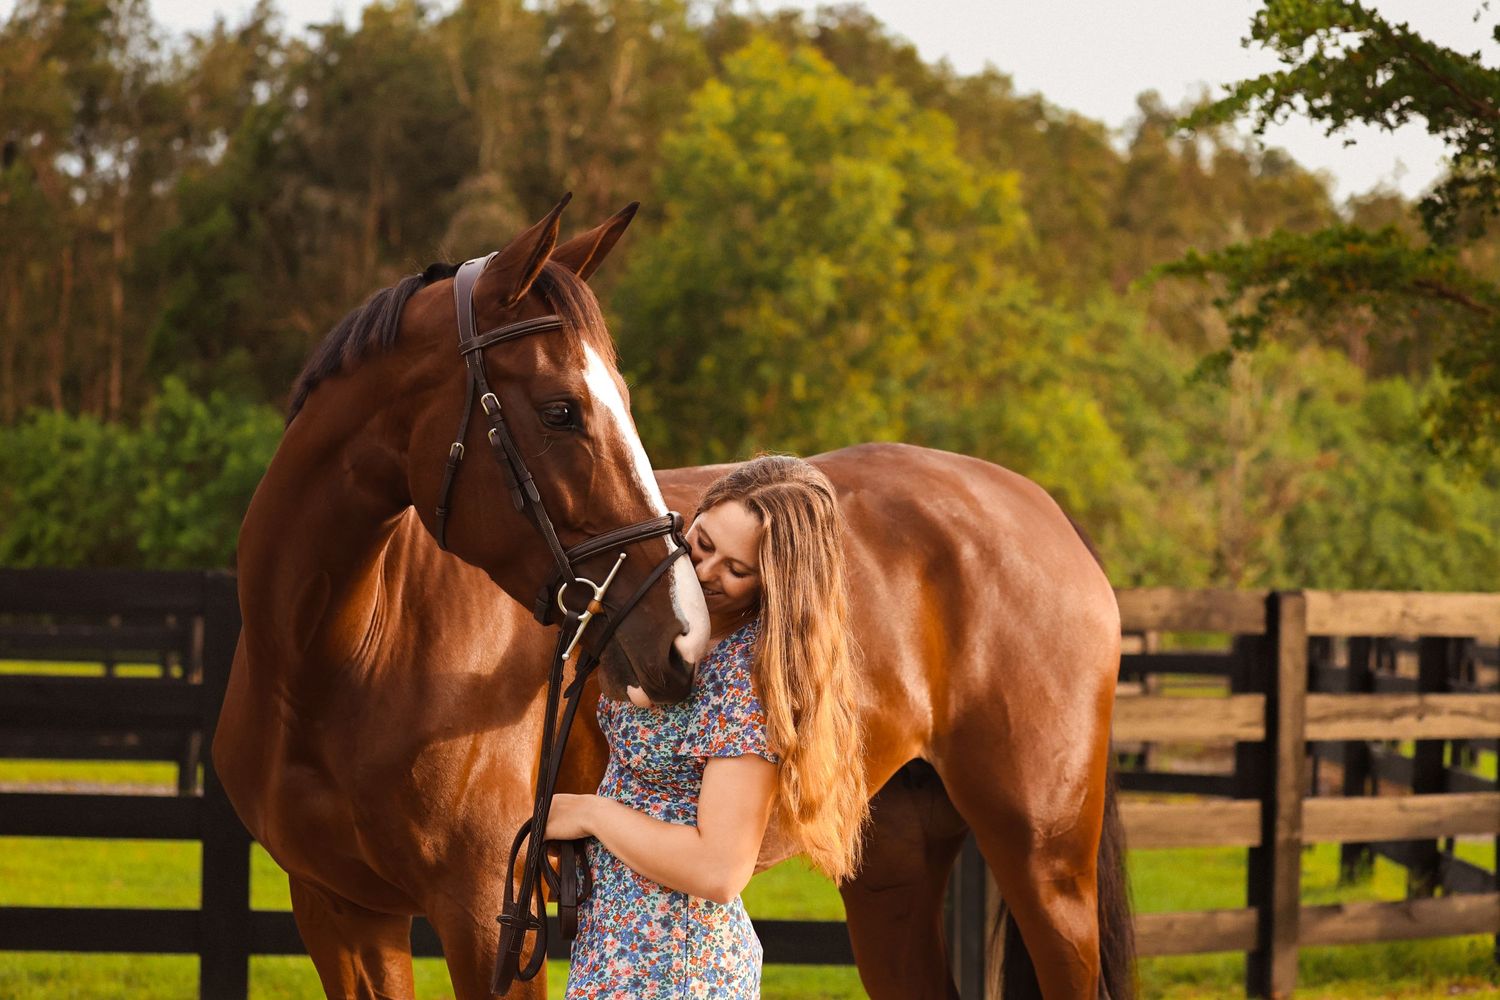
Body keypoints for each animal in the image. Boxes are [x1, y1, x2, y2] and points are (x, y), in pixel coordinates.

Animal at [215, 202, 1134, 1000]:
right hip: (894, 865)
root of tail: (1042, 512)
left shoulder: (484, 916)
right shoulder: (341, 915)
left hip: (1045, 864)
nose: (679, 636)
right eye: (562, 410)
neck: (345, 657)